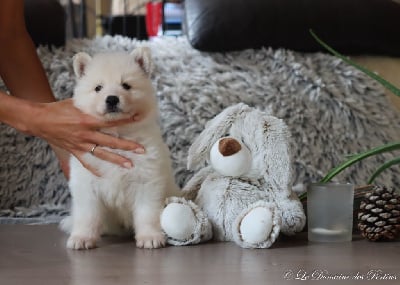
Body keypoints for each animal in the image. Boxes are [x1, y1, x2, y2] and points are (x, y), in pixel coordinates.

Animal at [61, 46, 180, 248]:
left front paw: (149, 237)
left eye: (126, 85)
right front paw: (82, 237)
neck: (117, 133)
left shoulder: (147, 181)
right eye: (98, 88)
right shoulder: (87, 183)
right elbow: (87, 215)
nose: (112, 99)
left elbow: (147, 213)